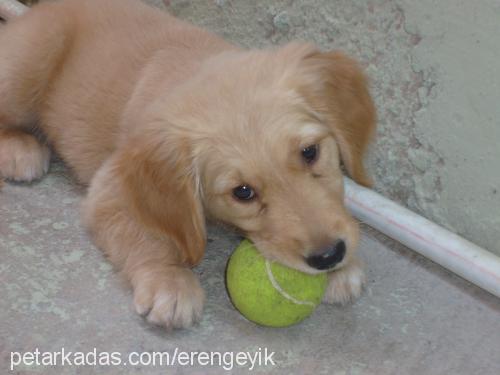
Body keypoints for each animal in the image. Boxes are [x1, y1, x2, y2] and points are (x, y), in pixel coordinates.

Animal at [0, 0, 376, 328]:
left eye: (310, 152)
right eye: (243, 192)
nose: (329, 255)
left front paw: (343, 269)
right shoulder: (109, 190)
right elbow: (145, 234)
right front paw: (170, 281)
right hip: (29, 62)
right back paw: (19, 149)